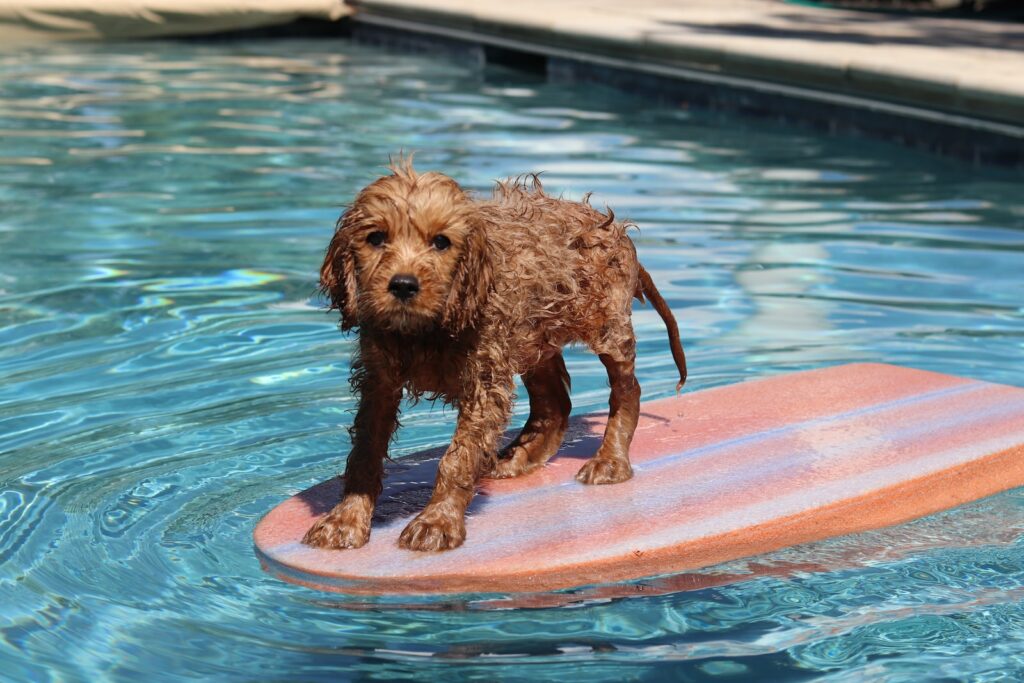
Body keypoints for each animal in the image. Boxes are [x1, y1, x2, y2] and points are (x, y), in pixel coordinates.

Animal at [303, 157, 688, 552]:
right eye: (376, 238)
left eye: (441, 242)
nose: (404, 285)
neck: (426, 329)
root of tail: (611, 226)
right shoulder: (379, 381)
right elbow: (365, 451)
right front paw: (347, 517)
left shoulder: (483, 381)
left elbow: (457, 458)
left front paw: (437, 521)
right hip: (533, 335)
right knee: (554, 402)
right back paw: (521, 457)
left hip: (606, 327)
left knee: (626, 390)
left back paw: (610, 461)